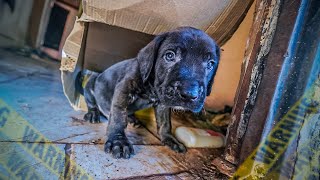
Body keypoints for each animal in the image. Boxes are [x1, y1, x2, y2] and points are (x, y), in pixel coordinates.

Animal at [80, 27, 220, 159]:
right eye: (170, 56)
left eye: (210, 64)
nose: (189, 94)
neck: (152, 89)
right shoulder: (124, 89)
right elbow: (118, 115)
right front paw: (118, 141)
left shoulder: (162, 104)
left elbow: (165, 123)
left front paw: (169, 139)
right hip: (91, 83)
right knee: (92, 102)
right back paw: (93, 114)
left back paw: (132, 119)